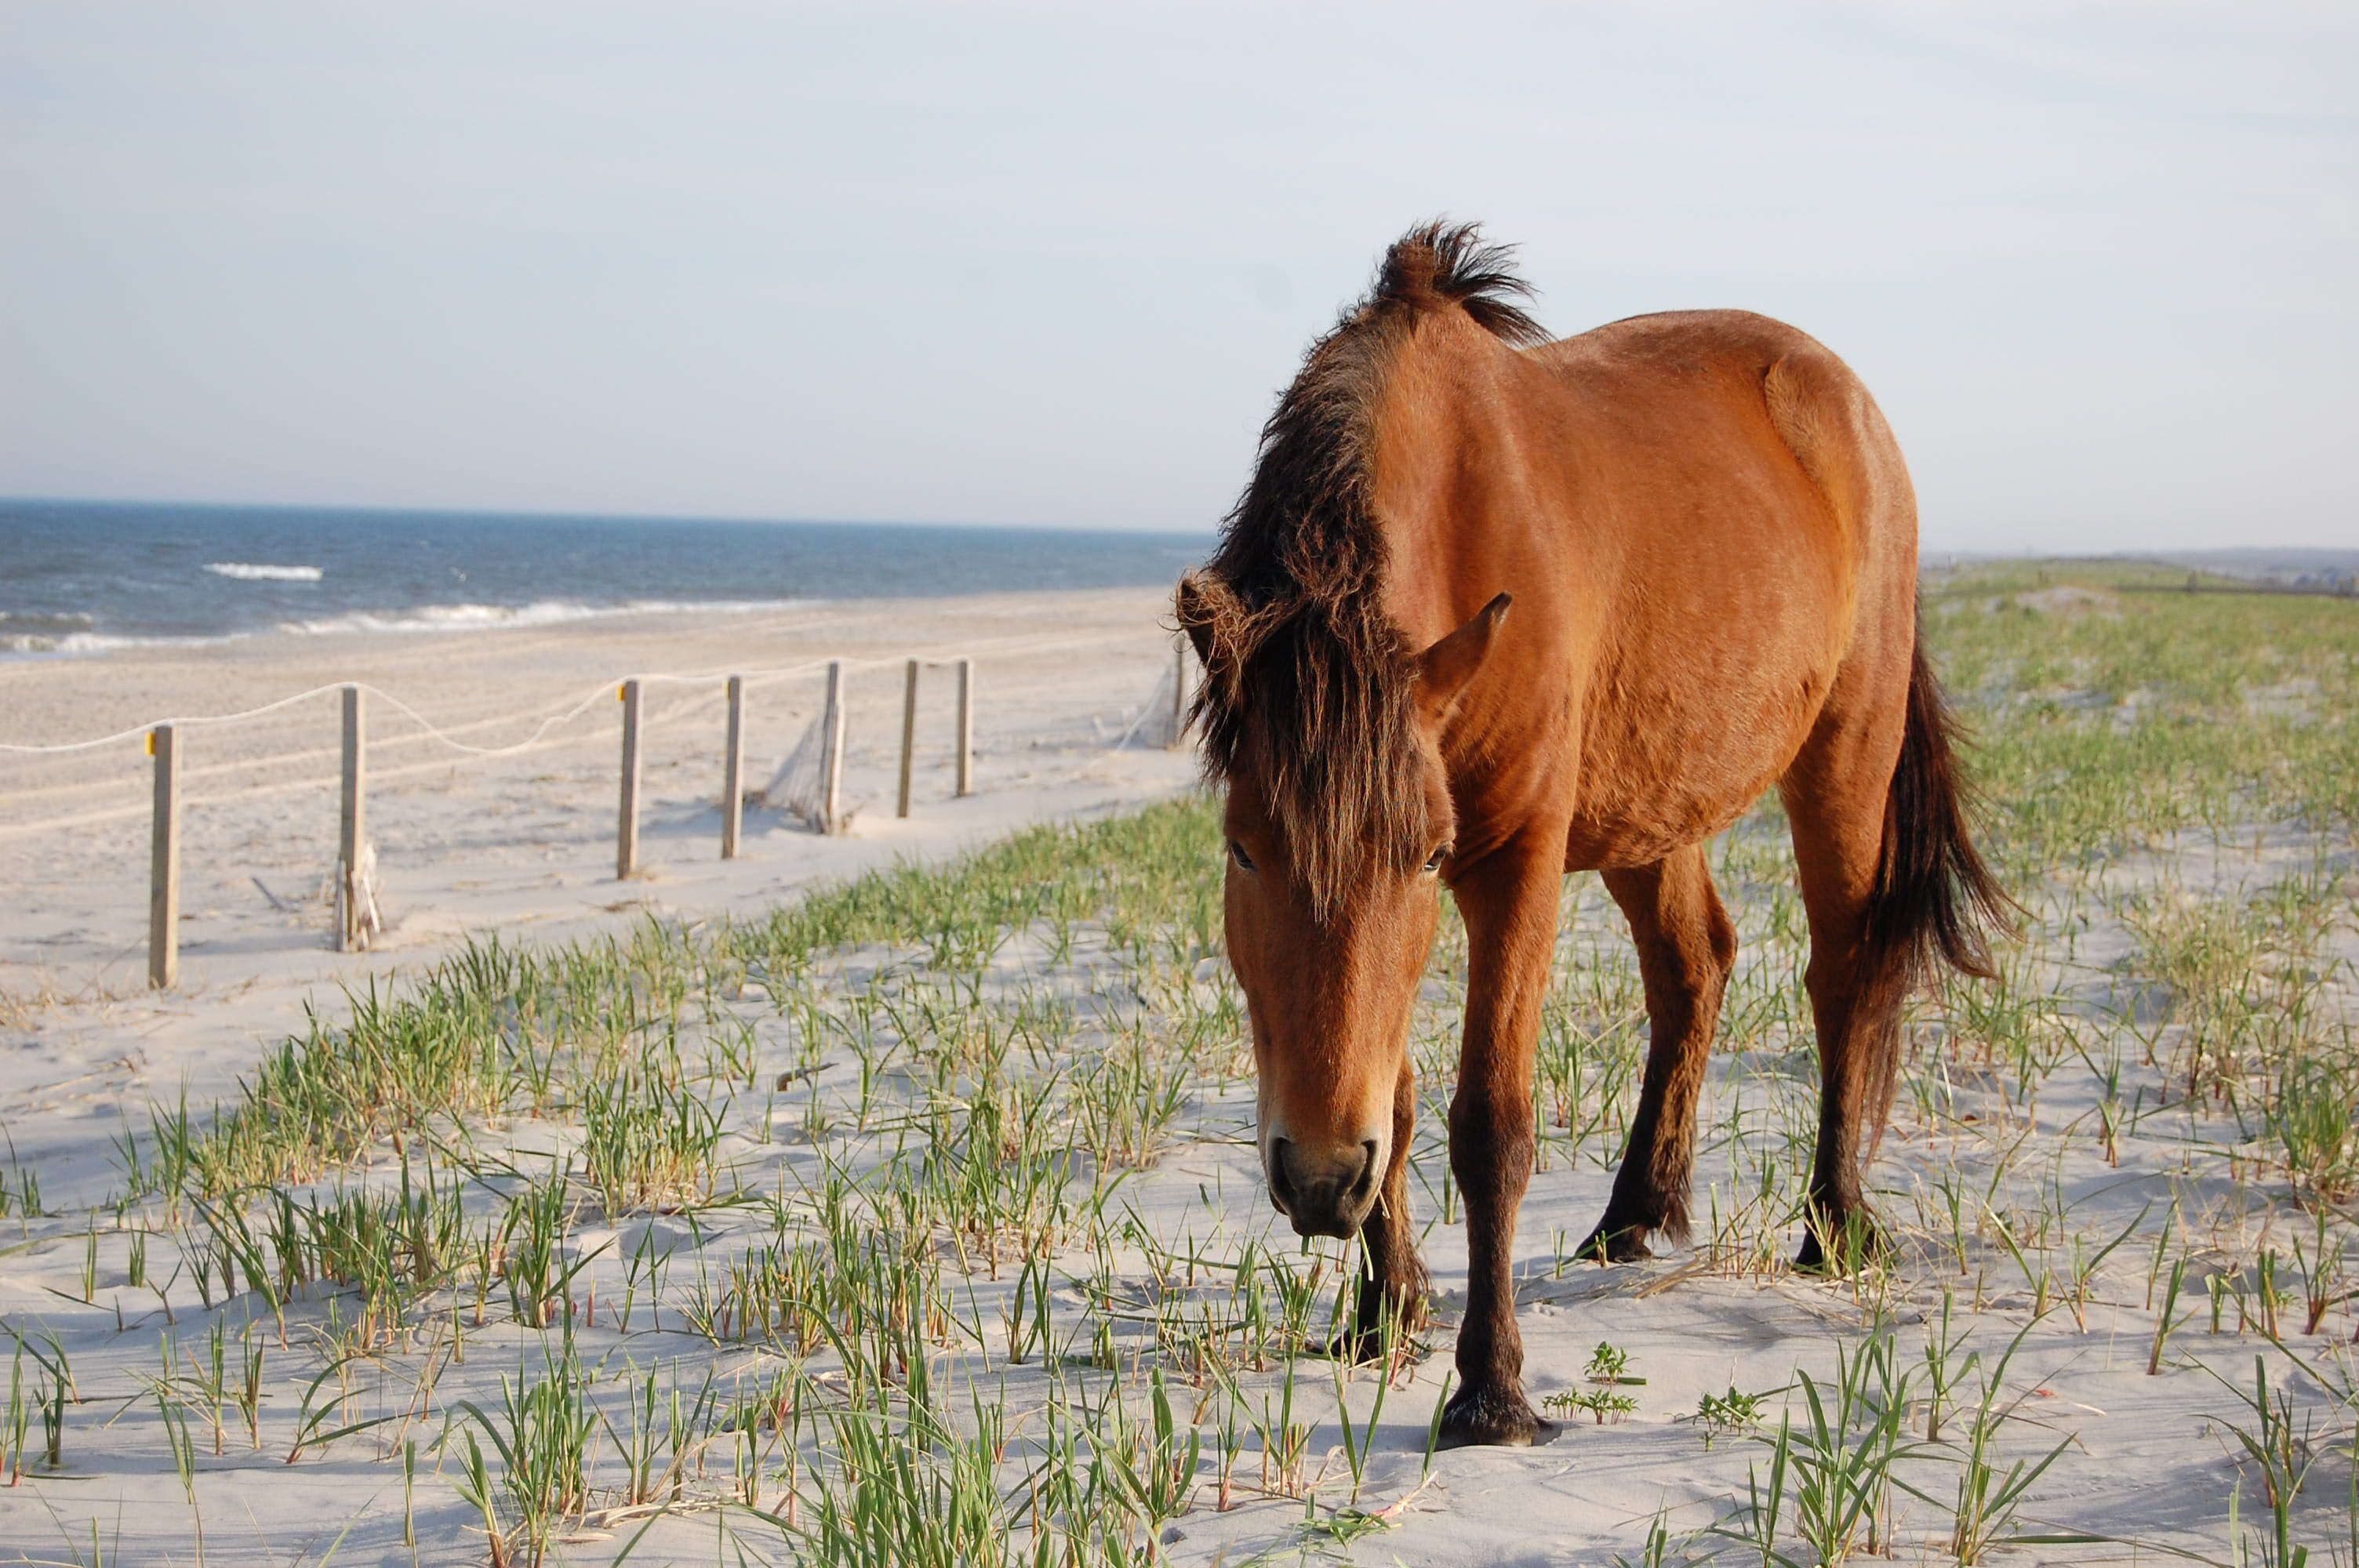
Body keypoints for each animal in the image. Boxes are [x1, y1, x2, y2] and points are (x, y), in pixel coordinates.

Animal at [1175, 222, 2009, 1448]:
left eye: (1426, 856)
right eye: (1242, 849)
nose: (1321, 1179)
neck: (1460, 501)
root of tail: (1841, 397)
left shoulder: (1513, 862)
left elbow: (1491, 1125)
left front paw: (1492, 1390)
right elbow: (1402, 1101)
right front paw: (1386, 1313)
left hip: (1844, 759)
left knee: (1845, 974)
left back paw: (1833, 1222)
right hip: (1651, 813)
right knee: (1694, 965)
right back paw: (1633, 1211)